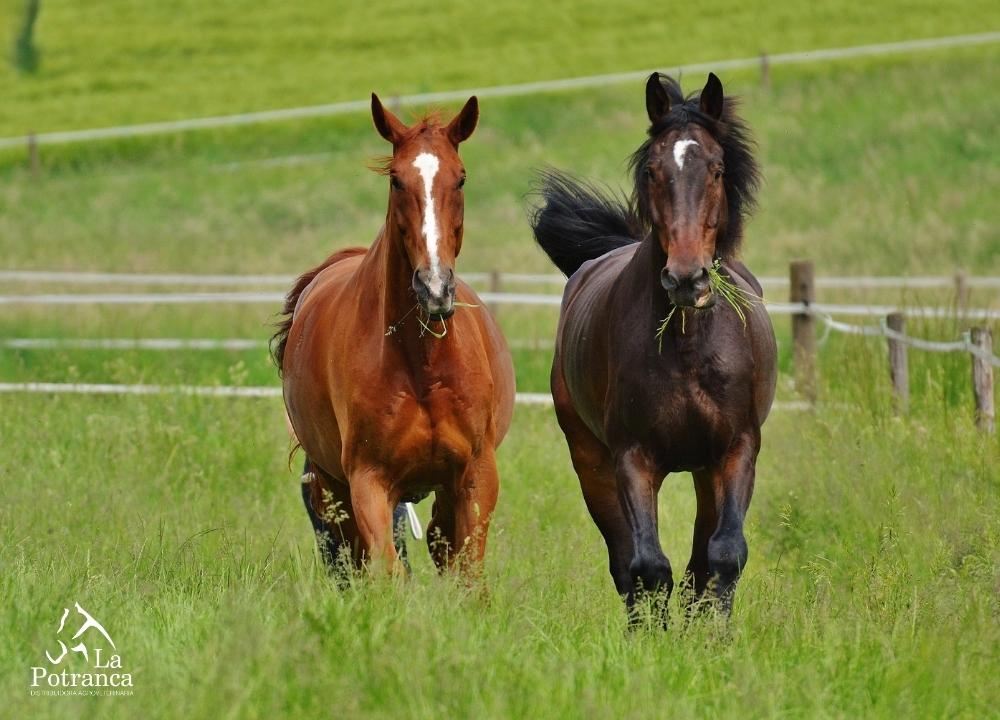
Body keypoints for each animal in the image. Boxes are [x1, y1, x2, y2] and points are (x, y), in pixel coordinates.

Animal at [273, 94, 516, 577]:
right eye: (397, 181)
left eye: (461, 178)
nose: (435, 287)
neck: (422, 365)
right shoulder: (369, 482)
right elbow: (388, 570)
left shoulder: (476, 476)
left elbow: (467, 573)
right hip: (334, 488)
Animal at [531, 72, 777, 618]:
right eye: (652, 169)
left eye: (717, 168)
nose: (686, 278)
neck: (688, 350)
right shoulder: (632, 458)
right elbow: (647, 567)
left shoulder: (737, 449)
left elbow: (723, 555)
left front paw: (714, 633)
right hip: (591, 462)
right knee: (626, 562)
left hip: (705, 470)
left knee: (701, 559)